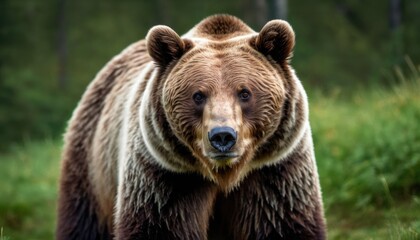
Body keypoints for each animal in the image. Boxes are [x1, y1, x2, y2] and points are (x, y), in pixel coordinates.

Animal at [55, 14, 326, 239]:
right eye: (198, 95)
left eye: (245, 93)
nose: (223, 136)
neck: (224, 176)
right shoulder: (166, 178)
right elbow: (159, 227)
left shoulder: (275, 172)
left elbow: (283, 224)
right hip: (92, 165)